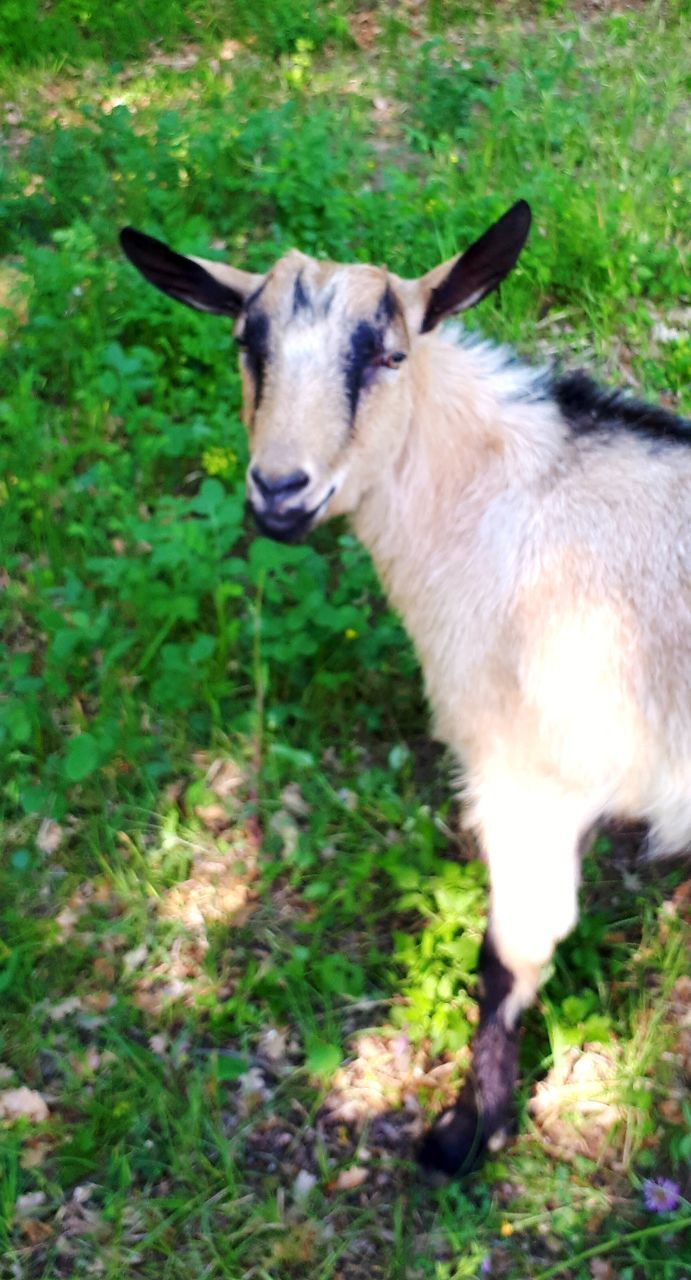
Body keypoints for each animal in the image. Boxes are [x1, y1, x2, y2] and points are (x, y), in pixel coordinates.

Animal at [121, 204, 691, 1172]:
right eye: (246, 344)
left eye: (386, 355)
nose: (279, 491)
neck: (503, 506)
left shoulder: (528, 774)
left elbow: (508, 957)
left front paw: (465, 1135)